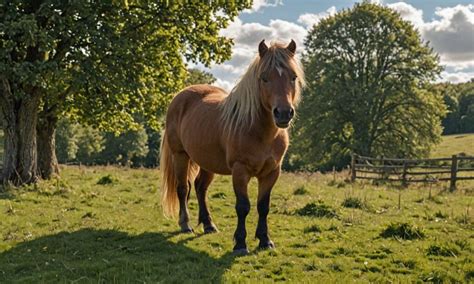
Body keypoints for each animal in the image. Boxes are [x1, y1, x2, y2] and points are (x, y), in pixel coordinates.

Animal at [161, 38, 306, 254]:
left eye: (293, 77)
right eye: (264, 78)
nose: (283, 113)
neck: (259, 131)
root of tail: (180, 96)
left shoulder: (272, 172)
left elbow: (263, 206)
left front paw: (265, 240)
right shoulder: (240, 171)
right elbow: (243, 206)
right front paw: (240, 243)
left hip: (207, 162)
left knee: (200, 188)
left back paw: (209, 225)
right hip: (180, 155)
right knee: (183, 188)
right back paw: (185, 224)